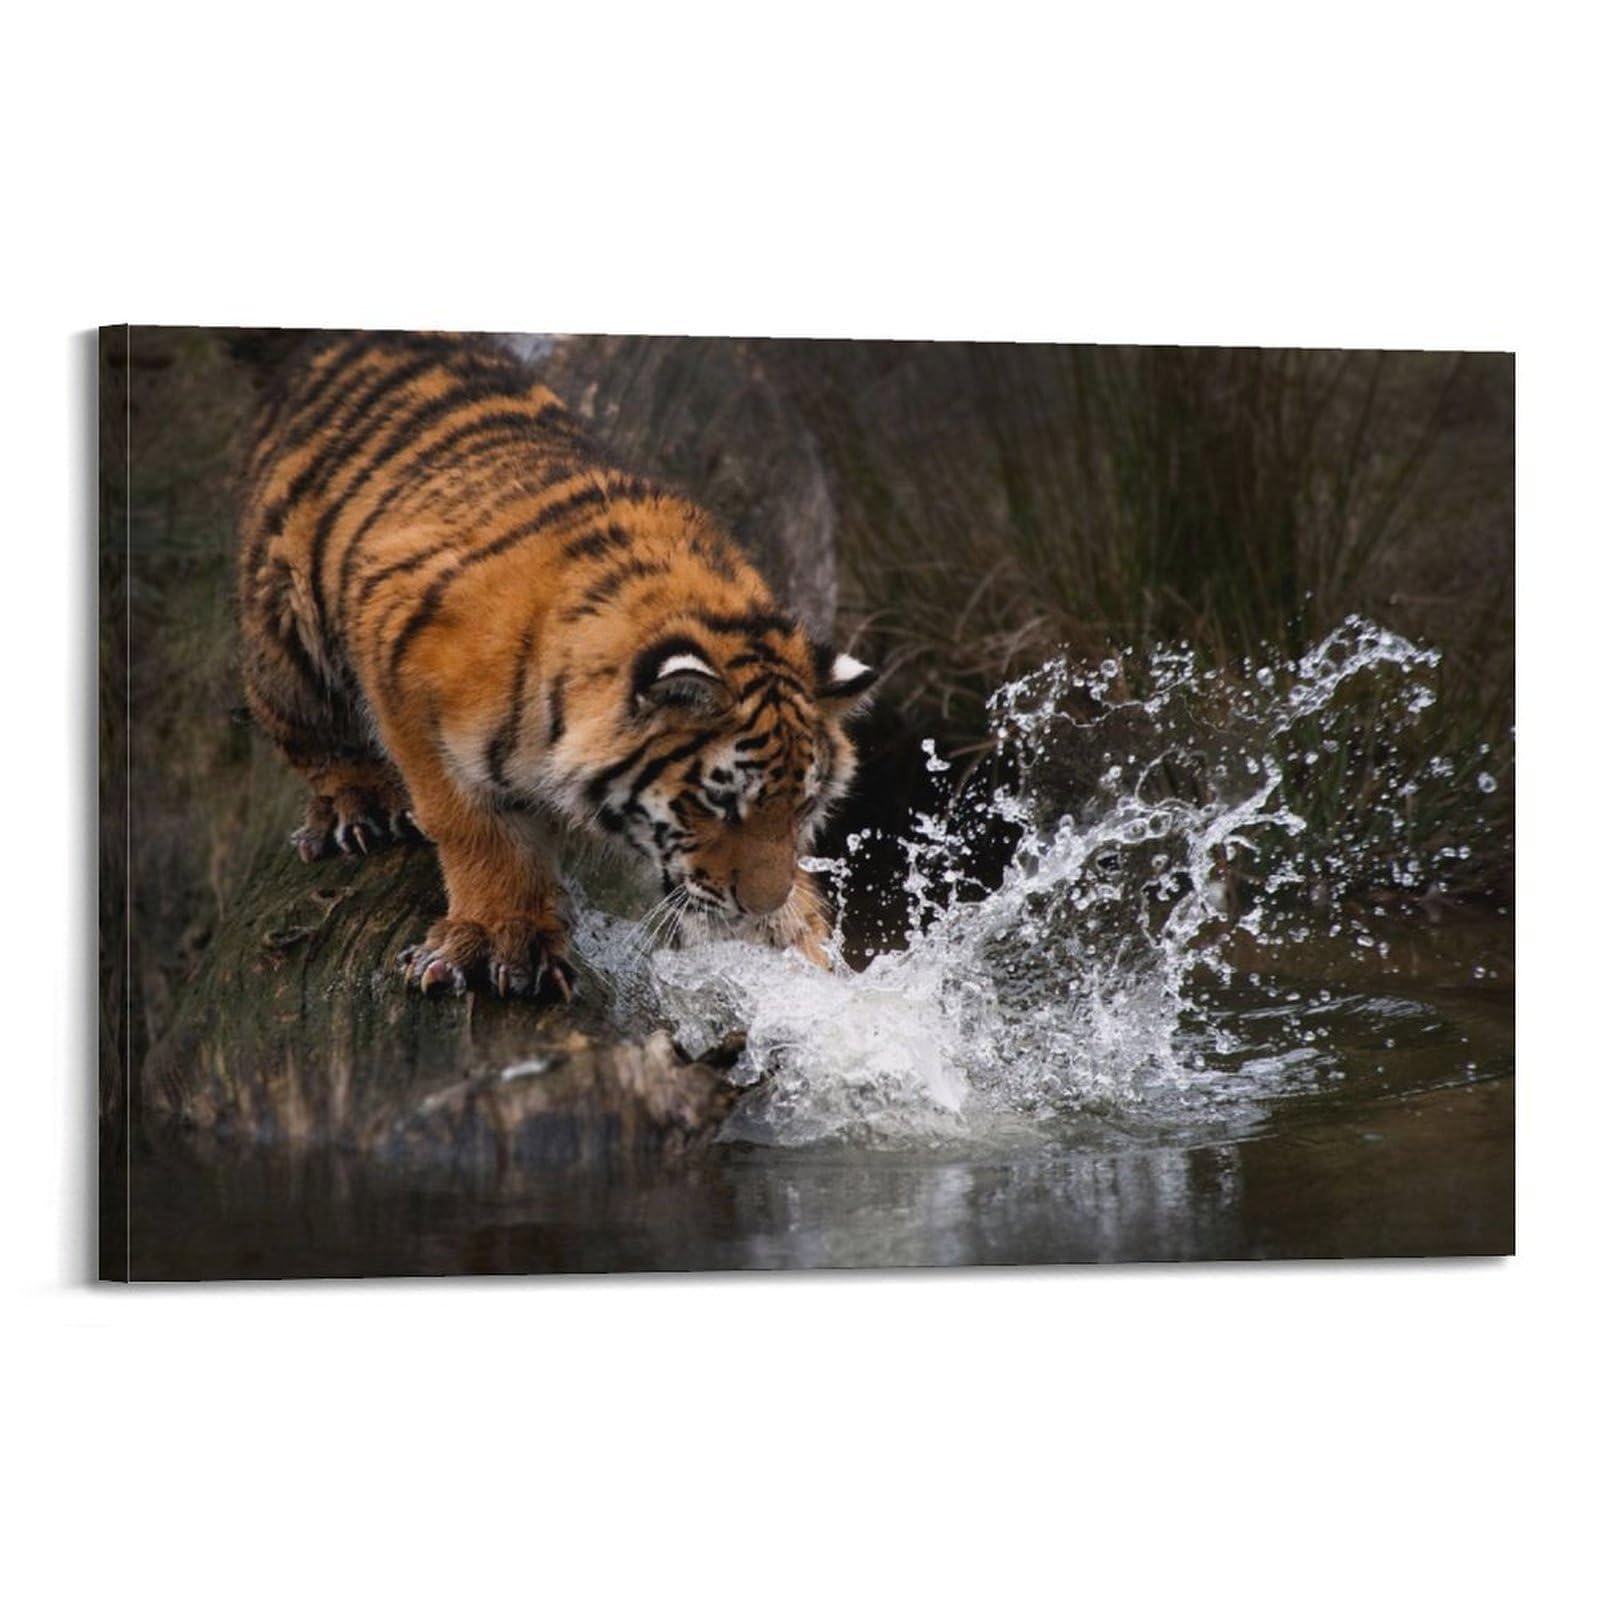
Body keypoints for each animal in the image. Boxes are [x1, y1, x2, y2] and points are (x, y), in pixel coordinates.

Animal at [233, 330, 875, 1001]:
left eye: (802, 807)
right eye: (720, 804)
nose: (760, 903)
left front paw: (812, 960)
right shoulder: (406, 681)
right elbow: (473, 828)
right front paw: (499, 937)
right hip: (288, 624)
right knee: (301, 722)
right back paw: (358, 805)